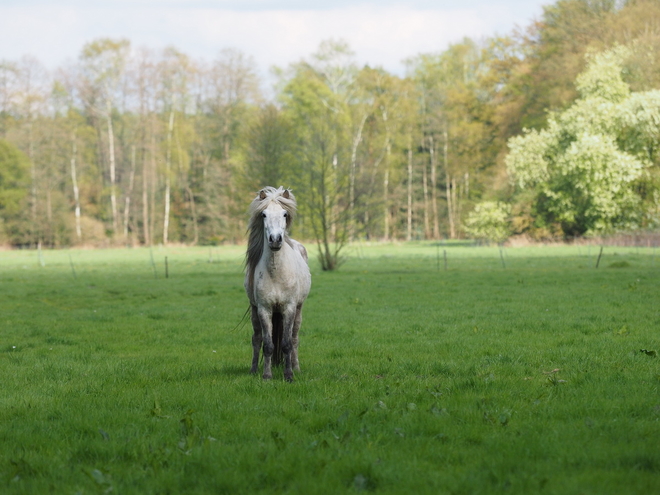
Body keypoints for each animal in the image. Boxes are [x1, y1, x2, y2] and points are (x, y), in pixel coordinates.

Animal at [245, 187, 312, 384]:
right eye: (264, 214)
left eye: (284, 214)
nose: (275, 239)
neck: (276, 272)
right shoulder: (264, 309)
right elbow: (267, 344)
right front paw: (267, 376)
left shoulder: (289, 308)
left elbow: (287, 343)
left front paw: (288, 375)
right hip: (254, 310)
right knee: (256, 339)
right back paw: (253, 370)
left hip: (298, 309)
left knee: (295, 338)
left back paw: (296, 367)